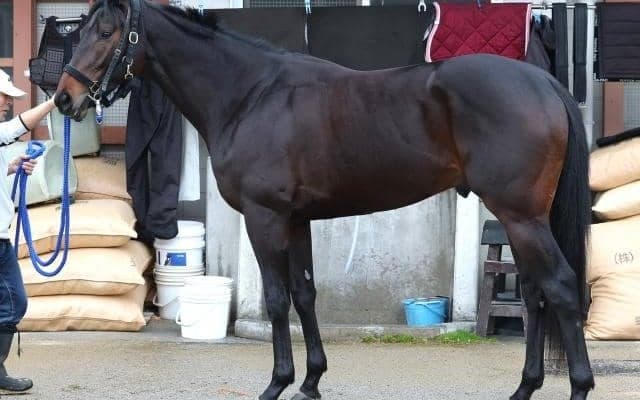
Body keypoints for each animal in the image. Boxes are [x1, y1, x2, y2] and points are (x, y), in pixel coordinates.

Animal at [54, 1, 594, 399]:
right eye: (80, 30)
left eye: (107, 32)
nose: (64, 98)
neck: (250, 96)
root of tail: (543, 81)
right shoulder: (297, 220)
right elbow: (305, 294)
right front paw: (311, 381)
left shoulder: (265, 218)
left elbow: (276, 299)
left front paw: (277, 383)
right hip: (524, 220)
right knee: (534, 293)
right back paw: (524, 388)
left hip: (521, 217)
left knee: (561, 288)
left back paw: (578, 386)